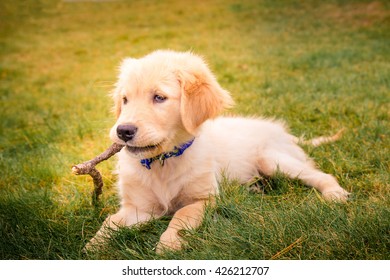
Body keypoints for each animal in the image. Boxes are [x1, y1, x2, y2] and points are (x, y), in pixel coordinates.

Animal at [87, 49, 350, 252]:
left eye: (159, 97)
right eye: (125, 99)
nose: (123, 131)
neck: (163, 161)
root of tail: (282, 131)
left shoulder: (205, 198)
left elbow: (182, 215)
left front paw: (168, 244)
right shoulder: (139, 208)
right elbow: (110, 222)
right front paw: (91, 246)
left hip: (272, 160)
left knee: (321, 175)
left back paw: (335, 194)